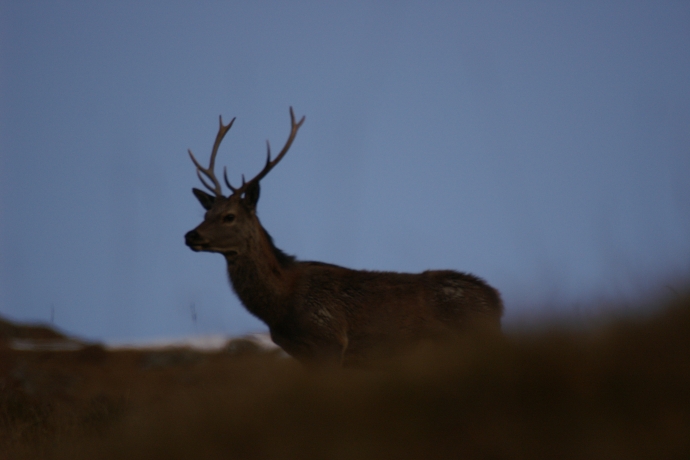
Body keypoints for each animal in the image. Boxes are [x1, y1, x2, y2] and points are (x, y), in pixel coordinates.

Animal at [185, 108, 503, 366]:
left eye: (229, 216)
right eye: (206, 213)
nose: (190, 235)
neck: (281, 306)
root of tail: (497, 301)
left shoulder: (329, 340)